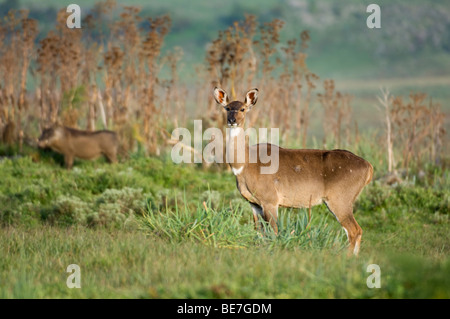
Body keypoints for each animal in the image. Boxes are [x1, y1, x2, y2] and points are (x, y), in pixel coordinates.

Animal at [214, 87, 372, 255]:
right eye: (227, 108)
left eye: (243, 109)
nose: (232, 120)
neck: (245, 165)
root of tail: (369, 167)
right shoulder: (253, 203)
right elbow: (259, 232)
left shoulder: (270, 200)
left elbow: (274, 232)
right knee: (357, 231)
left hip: (340, 199)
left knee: (354, 230)